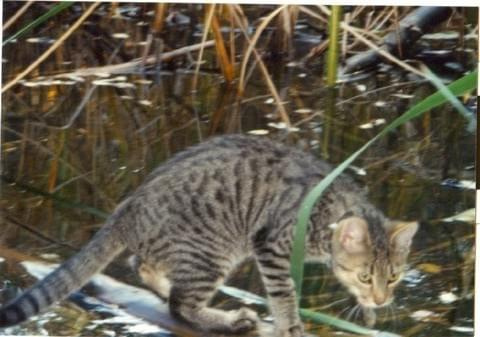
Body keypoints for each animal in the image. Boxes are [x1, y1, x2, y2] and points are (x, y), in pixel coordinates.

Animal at [0, 135, 416, 336]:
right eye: (365, 275)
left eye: (393, 277)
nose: (381, 299)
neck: (329, 201)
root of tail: (128, 206)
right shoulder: (271, 244)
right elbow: (284, 293)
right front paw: (291, 325)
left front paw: (368, 312)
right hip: (213, 251)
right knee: (180, 305)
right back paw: (228, 320)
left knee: (143, 264)